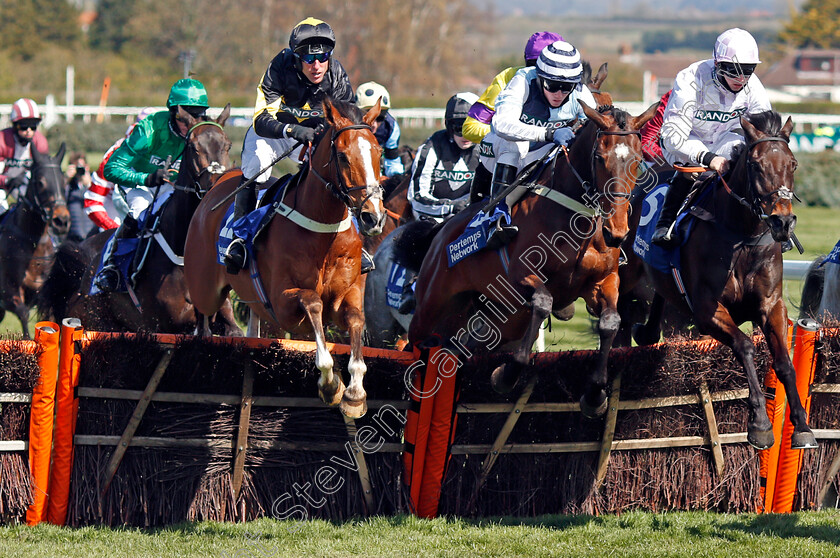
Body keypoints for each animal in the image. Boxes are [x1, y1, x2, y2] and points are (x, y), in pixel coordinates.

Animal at [0, 143, 70, 336]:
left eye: (64, 182)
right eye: (40, 182)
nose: (61, 221)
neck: (32, 240)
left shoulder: (43, 289)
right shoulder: (9, 291)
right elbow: (23, 314)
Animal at [36, 107, 240, 340]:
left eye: (227, 145)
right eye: (193, 147)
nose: (217, 185)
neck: (181, 248)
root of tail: (84, 276)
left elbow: (232, 329)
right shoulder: (167, 322)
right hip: (96, 320)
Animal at [184, 99, 388, 420]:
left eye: (379, 152)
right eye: (343, 156)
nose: (373, 217)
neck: (324, 231)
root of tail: (217, 183)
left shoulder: (348, 294)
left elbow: (356, 319)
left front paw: (354, 394)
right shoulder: (282, 303)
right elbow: (312, 301)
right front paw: (330, 383)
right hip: (205, 288)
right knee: (202, 318)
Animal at [410, 100, 660, 418]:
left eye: (638, 160)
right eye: (599, 158)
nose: (616, 232)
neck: (578, 218)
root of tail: (441, 232)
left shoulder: (605, 281)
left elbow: (610, 322)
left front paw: (595, 394)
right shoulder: (520, 275)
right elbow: (542, 303)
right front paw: (507, 376)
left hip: (497, 319)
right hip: (430, 307)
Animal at [632, 111, 812, 452]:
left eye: (793, 164)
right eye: (755, 164)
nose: (783, 222)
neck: (741, 236)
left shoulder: (772, 305)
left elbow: (784, 361)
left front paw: (803, 427)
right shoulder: (708, 311)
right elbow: (745, 345)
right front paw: (759, 424)